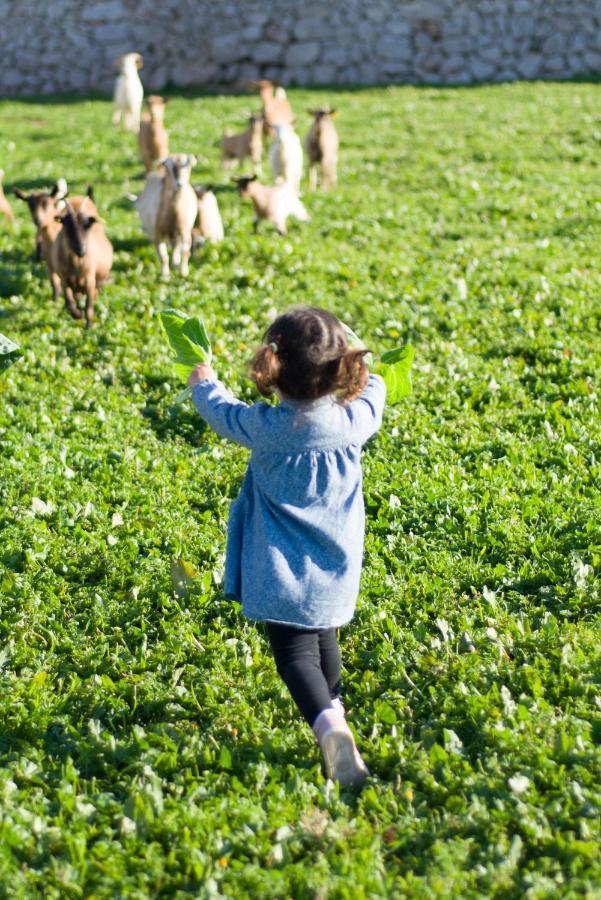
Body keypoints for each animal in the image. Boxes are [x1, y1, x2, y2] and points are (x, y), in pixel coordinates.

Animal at [51, 195, 112, 328]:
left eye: (87, 225)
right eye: (66, 225)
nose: (81, 250)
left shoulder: (90, 281)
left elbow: (89, 306)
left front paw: (89, 327)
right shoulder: (64, 281)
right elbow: (69, 303)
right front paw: (77, 315)